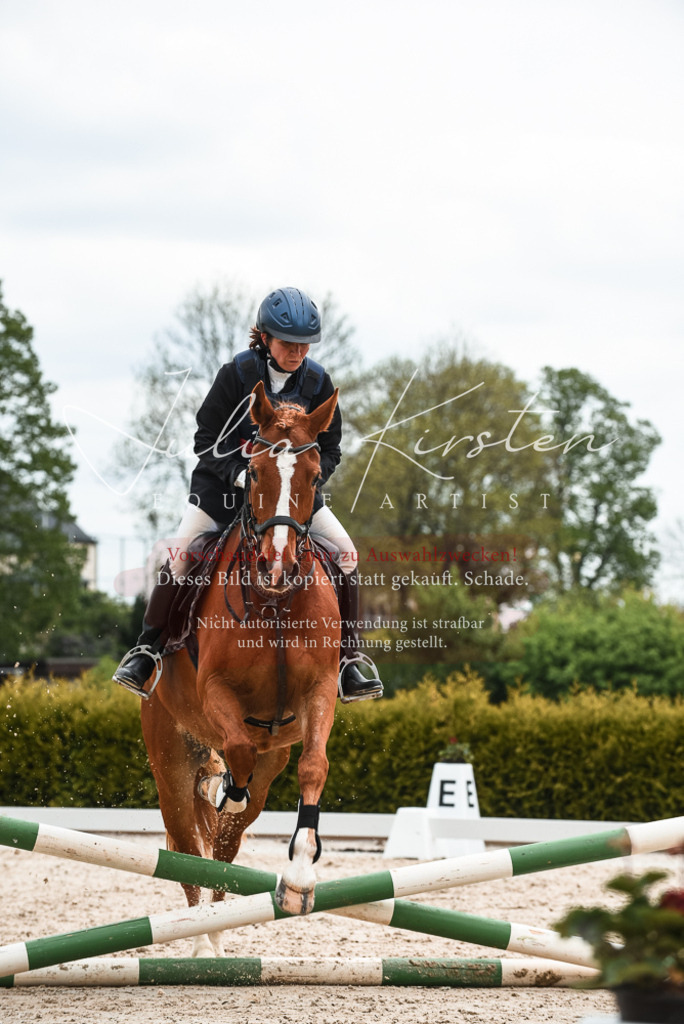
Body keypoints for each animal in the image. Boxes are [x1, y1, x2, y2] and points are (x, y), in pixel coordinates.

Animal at [140, 381, 342, 956]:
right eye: (253, 473)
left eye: (314, 475)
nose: (278, 567)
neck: (275, 605)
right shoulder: (215, 691)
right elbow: (236, 749)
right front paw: (223, 788)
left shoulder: (320, 693)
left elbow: (313, 767)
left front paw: (300, 877)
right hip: (169, 760)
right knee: (189, 846)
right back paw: (201, 944)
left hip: (270, 767)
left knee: (226, 850)